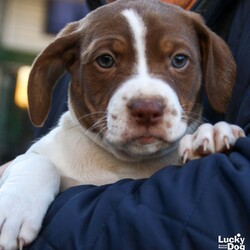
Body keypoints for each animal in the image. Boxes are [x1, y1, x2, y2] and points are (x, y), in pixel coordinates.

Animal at [0, 0, 244, 249]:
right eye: (105, 60)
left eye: (179, 60)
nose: (147, 109)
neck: (124, 164)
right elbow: (38, 160)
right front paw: (15, 208)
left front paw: (210, 135)